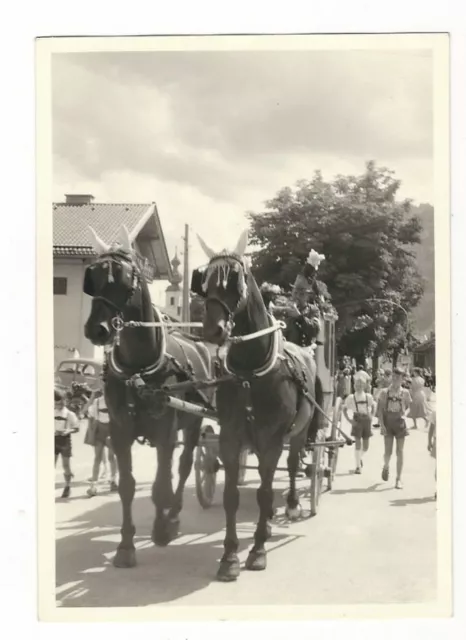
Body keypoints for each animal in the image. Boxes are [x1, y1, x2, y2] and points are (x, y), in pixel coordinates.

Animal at [83, 228, 213, 568]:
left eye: (123, 277)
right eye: (92, 278)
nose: (96, 330)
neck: (137, 368)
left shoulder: (165, 430)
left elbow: (159, 486)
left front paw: (162, 528)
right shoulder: (119, 430)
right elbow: (128, 486)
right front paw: (126, 546)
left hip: (192, 425)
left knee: (183, 466)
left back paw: (174, 514)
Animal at [192, 230, 320, 580]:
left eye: (236, 279)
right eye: (204, 282)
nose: (213, 330)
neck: (251, 371)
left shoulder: (271, 439)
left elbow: (264, 493)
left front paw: (258, 550)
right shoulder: (231, 436)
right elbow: (231, 495)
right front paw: (229, 556)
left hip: (300, 433)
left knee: (292, 465)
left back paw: (292, 503)